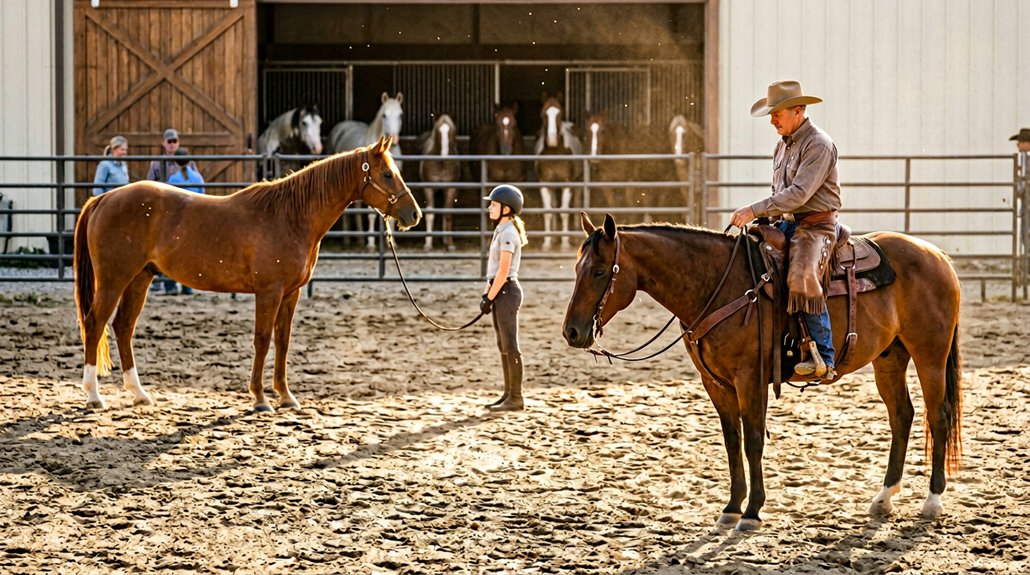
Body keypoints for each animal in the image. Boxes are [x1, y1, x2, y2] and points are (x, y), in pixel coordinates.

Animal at [73, 137, 421, 412]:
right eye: (387, 174)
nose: (414, 214)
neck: (290, 216)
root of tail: (103, 198)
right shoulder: (269, 292)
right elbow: (263, 340)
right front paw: (260, 399)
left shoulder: (291, 293)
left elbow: (283, 340)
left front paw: (285, 396)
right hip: (113, 281)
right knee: (95, 324)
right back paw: (94, 396)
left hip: (140, 279)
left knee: (123, 327)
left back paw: (139, 394)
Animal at [329, 92, 405, 249]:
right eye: (384, 115)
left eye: (400, 115)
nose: (394, 139)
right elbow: (370, 214)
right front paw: (370, 243)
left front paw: (393, 242)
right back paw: (348, 239)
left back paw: (359, 238)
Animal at [417, 113, 462, 251]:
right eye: (438, 131)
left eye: (452, 131)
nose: (444, 153)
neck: (441, 163)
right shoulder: (428, 188)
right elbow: (430, 214)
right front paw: (427, 244)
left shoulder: (451, 189)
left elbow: (448, 214)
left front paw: (450, 244)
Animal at [534, 94, 583, 250]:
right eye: (543, 114)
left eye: (559, 113)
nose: (552, 139)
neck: (555, 152)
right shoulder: (544, 183)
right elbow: (549, 211)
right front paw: (547, 242)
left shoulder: (567, 183)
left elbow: (564, 211)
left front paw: (565, 243)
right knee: (554, 205)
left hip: (578, 182)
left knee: (576, 203)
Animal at [562, 213, 963, 532]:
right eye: (576, 269)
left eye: (599, 271)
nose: (572, 332)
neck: (719, 285)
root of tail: (937, 255)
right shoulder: (716, 383)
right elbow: (732, 441)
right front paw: (730, 508)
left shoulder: (749, 378)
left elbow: (754, 440)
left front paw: (752, 512)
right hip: (889, 357)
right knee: (902, 416)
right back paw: (884, 498)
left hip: (929, 354)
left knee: (938, 416)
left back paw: (932, 501)